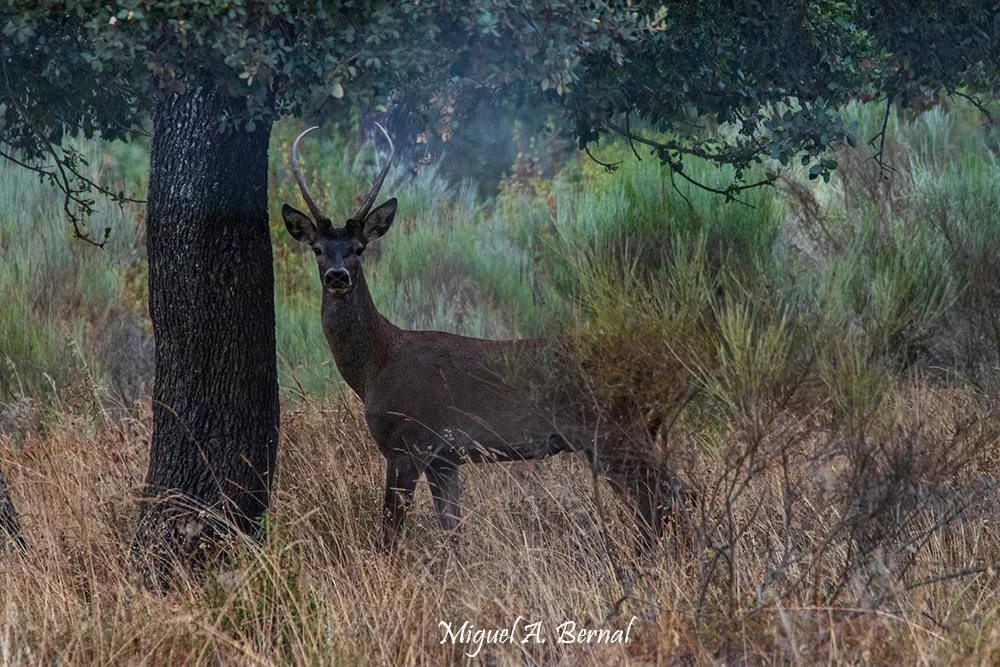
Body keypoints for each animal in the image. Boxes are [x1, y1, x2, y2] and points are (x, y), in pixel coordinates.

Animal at [282, 124, 689, 551]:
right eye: (318, 249)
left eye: (359, 248)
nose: (338, 275)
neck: (375, 368)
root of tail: (669, 378)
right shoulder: (445, 457)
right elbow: (452, 530)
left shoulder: (409, 440)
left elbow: (389, 533)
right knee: (663, 500)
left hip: (616, 430)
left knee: (669, 498)